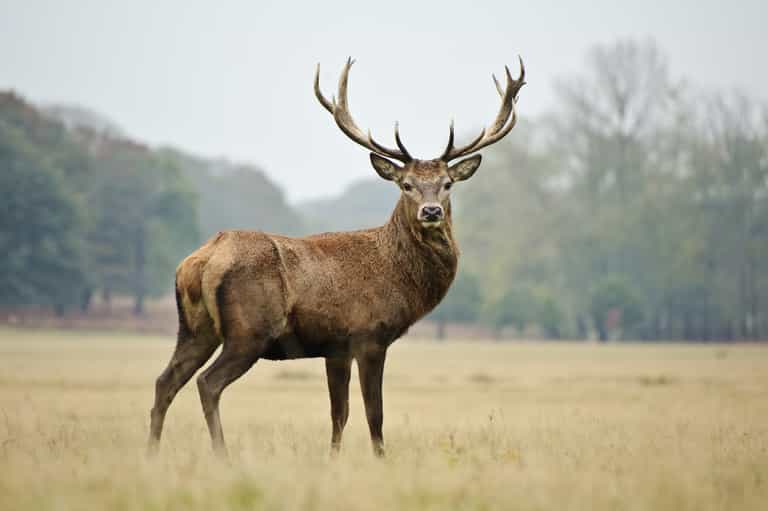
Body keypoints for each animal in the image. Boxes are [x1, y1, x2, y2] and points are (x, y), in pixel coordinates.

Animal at [147, 57, 525, 458]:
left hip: (194, 328)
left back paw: (151, 453)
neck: (397, 276)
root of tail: (201, 260)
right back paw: (222, 455)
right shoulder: (369, 335)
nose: (432, 211)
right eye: (406, 185)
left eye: (447, 184)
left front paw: (333, 459)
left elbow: (338, 414)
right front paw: (380, 459)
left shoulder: (335, 347)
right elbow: (374, 413)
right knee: (208, 383)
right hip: (249, 330)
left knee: (165, 381)